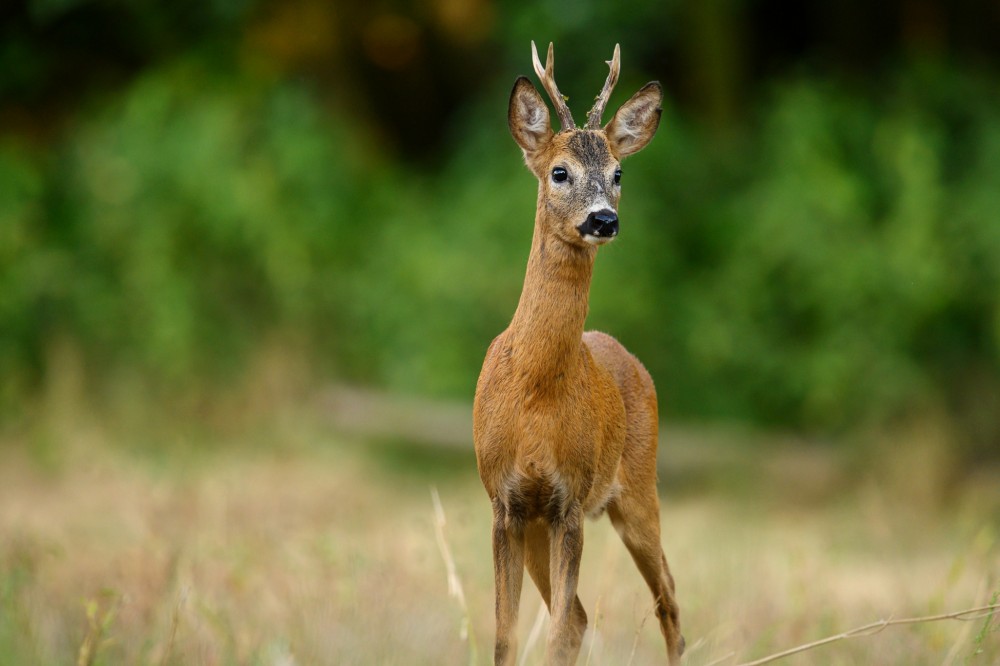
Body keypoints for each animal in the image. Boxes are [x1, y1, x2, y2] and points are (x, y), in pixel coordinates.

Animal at [472, 44, 684, 660]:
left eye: (618, 173)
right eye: (559, 171)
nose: (603, 219)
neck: (535, 389)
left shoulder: (569, 501)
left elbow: (559, 628)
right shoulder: (506, 502)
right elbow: (506, 635)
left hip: (638, 487)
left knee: (668, 600)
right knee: (590, 615)